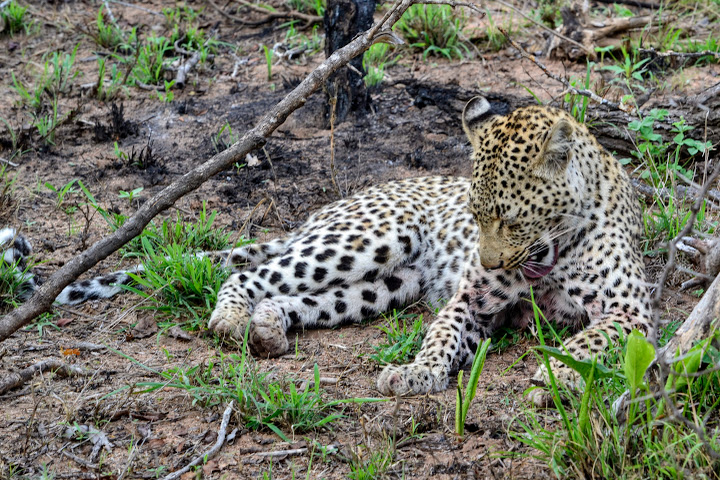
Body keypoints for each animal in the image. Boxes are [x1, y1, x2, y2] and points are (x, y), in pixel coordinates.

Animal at [207, 94, 652, 402]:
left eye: (510, 220)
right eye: (475, 215)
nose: (488, 263)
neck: (554, 249)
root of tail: (331, 206)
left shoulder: (630, 310)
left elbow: (587, 341)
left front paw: (559, 374)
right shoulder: (473, 298)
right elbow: (442, 332)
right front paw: (417, 371)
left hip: (386, 287)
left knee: (301, 297)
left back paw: (267, 326)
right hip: (370, 239)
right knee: (248, 273)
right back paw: (230, 319)